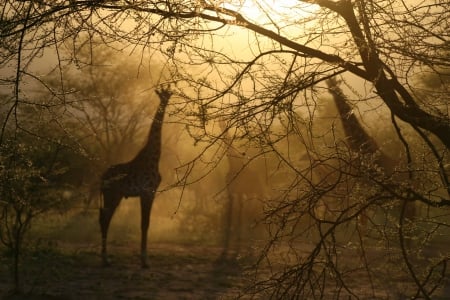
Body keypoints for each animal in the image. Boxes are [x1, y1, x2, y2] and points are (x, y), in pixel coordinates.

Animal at [99, 84, 171, 268]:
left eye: (169, 94)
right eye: (162, 95)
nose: (166, 100)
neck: (154, 156)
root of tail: (101, 178)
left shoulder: (150, 193)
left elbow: (145, 224)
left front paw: (143, 258)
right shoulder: (147, 192)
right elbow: (145, 224)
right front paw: (145, 260)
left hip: (113, 196)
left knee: (103, 218)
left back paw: (105, 258)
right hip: (112, 195)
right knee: (104, 219)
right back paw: (105, 259)